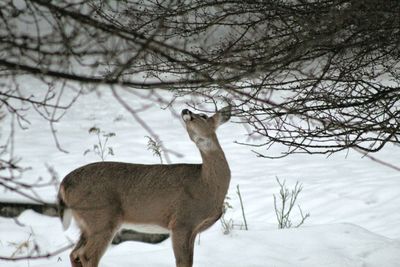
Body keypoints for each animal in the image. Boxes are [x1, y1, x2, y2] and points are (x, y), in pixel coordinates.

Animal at [56, 106, 231, 267]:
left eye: (203, 115)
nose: (185, 110)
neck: (206, 184)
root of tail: (64, 183)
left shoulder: (192, 228)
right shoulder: (181, 221)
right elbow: (183, 262)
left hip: (86, 223)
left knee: (74, 253)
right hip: (101, 217)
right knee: (86, 255)